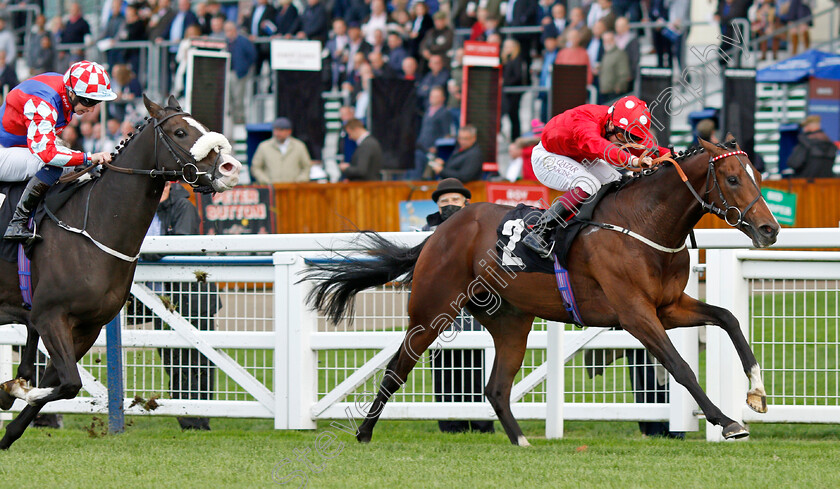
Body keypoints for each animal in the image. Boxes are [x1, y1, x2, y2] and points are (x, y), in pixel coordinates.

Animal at [0, 93, 241, 448]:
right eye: (180, 132)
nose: (231, 168)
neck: (92, 224)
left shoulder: (86, 326)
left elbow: (60, 382)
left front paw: (10, 418)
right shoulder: (49, 315)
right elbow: (68, 383)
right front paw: (14, 389)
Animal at [306, 135, 780, 444]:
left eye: (757, 175)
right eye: (733, 179)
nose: (769, 230)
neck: (643, 222)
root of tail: (442, 230)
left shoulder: (668, 305)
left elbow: (728, 318)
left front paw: (756, 393)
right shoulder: (635, 313)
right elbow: (680, 366)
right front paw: (726, 421)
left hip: (510, 321)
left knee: (496, 388)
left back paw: (521, 441)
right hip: (431, 311)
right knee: (396, 368)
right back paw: (363, 432)